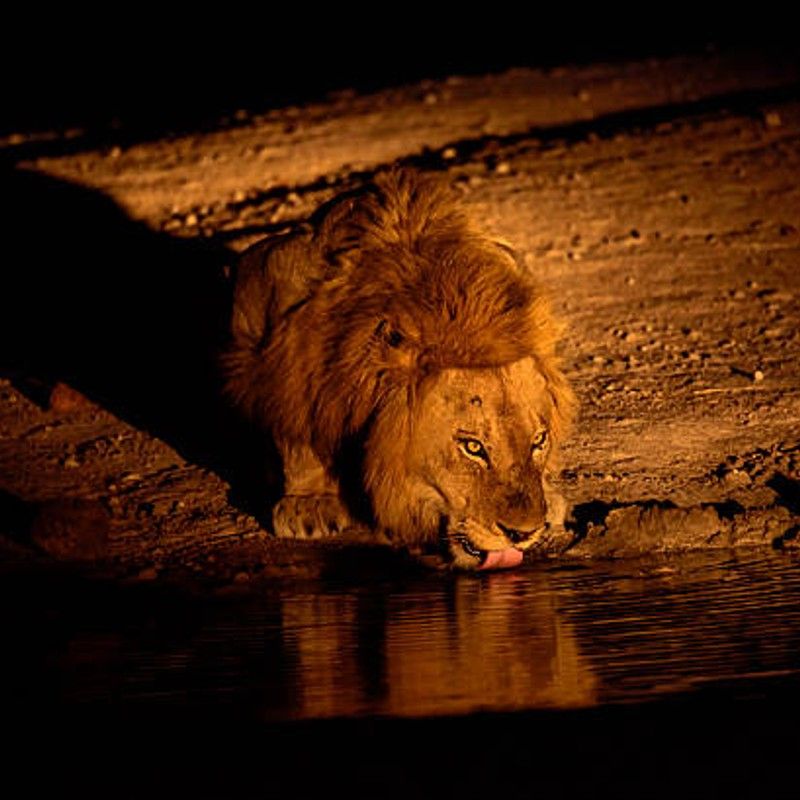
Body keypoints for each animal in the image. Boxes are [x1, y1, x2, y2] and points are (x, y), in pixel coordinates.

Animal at [223, 169, 575, 569]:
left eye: (539, 441)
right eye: (472, 447)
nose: (523, 532)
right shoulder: (272, 290)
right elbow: (295, 418)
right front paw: (307, 503)